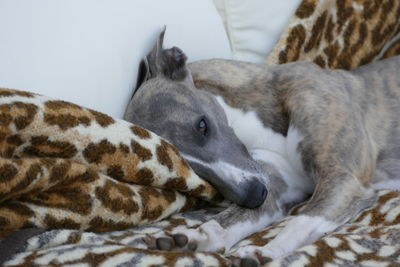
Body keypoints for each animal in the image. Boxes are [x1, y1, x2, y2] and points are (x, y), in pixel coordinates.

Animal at [123, 29, 400, 266]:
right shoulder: (276, 185)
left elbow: (303, 218)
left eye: (202, 125)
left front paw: (268, 250)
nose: (254, 195)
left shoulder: (344, 179)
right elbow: (237, 217)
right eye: (188, 166)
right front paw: (198, 237)